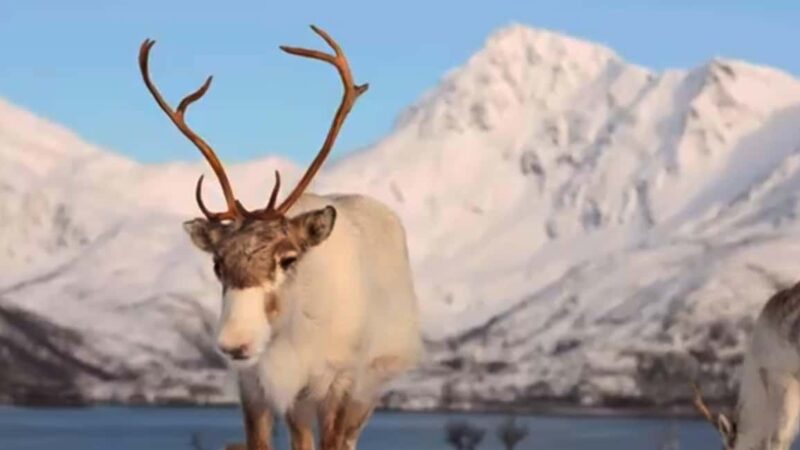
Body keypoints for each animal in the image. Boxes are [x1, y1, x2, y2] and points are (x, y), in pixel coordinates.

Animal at [138, 26, 423, 450]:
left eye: (288, 259)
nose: (235, 343)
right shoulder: (257, 387)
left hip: (371, 385)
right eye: (217, 263)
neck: (289, 337)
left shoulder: (338, 382)